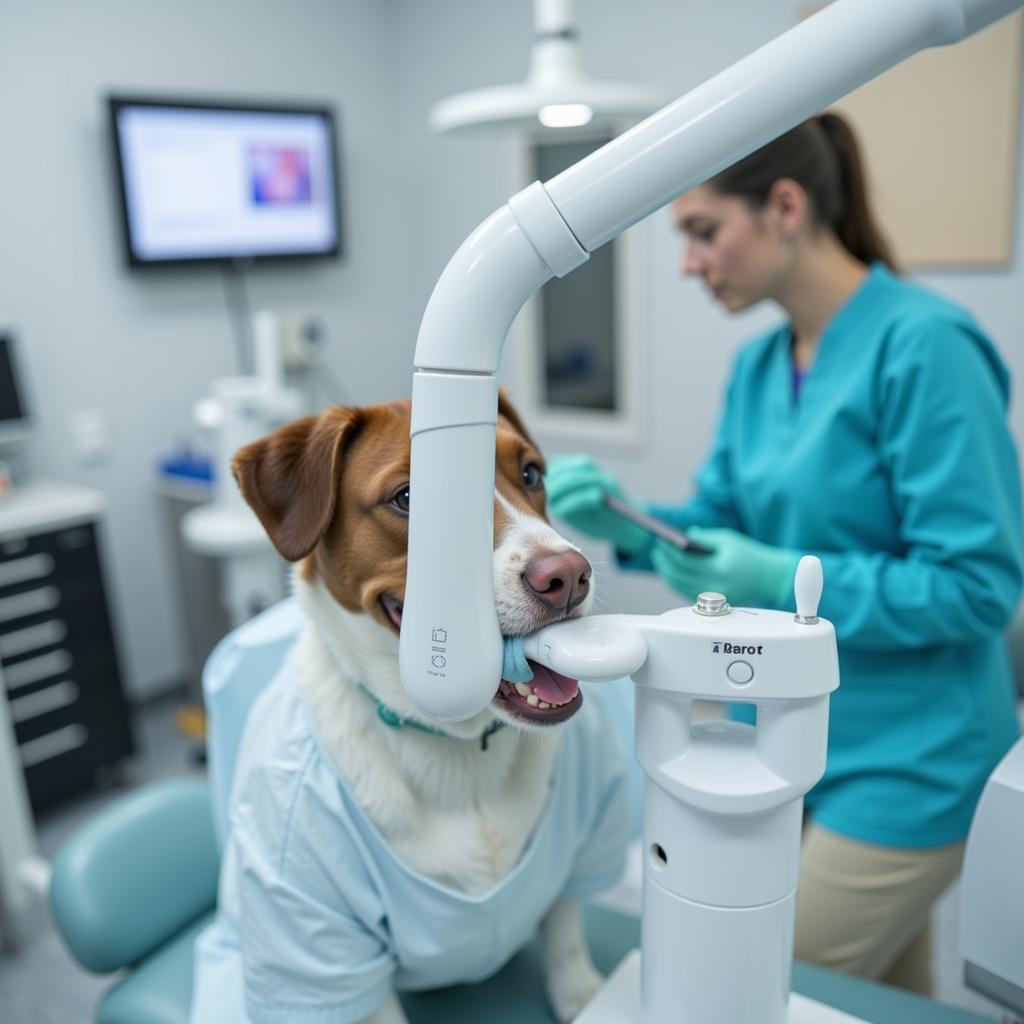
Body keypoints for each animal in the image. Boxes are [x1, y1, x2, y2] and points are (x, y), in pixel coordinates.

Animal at [228, 393, 618, 1024]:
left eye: (531, 474)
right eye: (409, 497)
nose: (567, 576)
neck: (456, 746)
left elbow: (564, 926)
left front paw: (583, 995)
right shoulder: (324, 943)